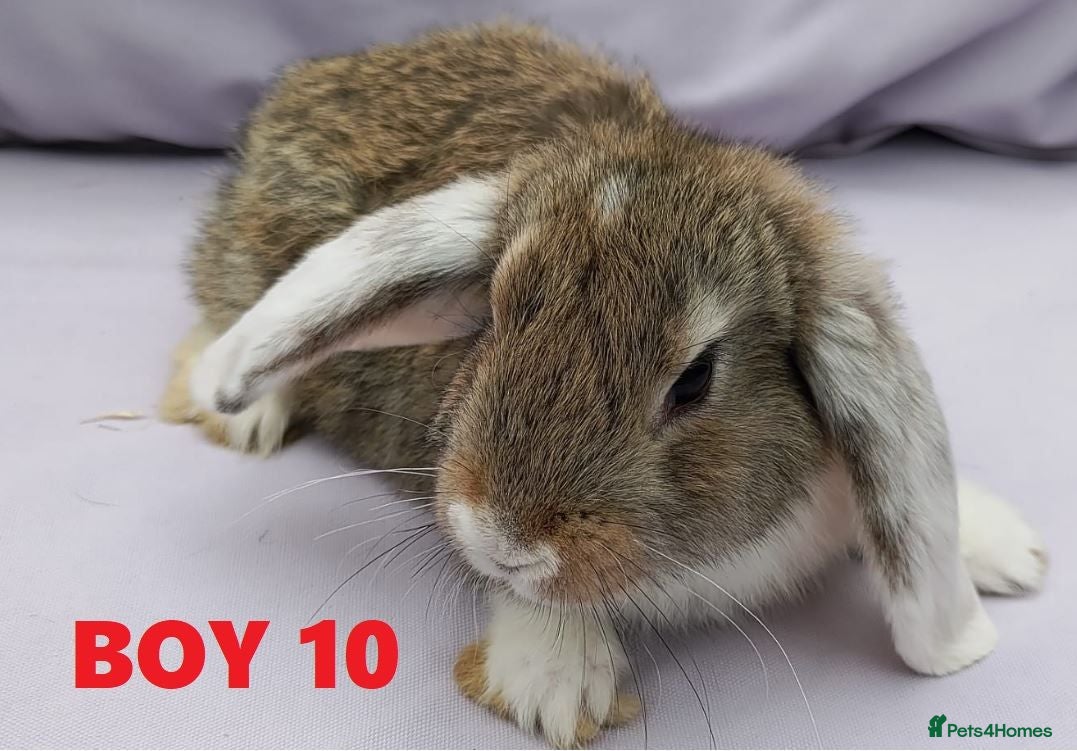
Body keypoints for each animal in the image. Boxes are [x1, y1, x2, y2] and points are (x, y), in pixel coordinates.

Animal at [160, 23, 1048, 748]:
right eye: (493, 314)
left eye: (694, 379)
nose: (503, 538)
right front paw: (555, 682)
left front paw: (1007, 549)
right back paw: (243, 408)